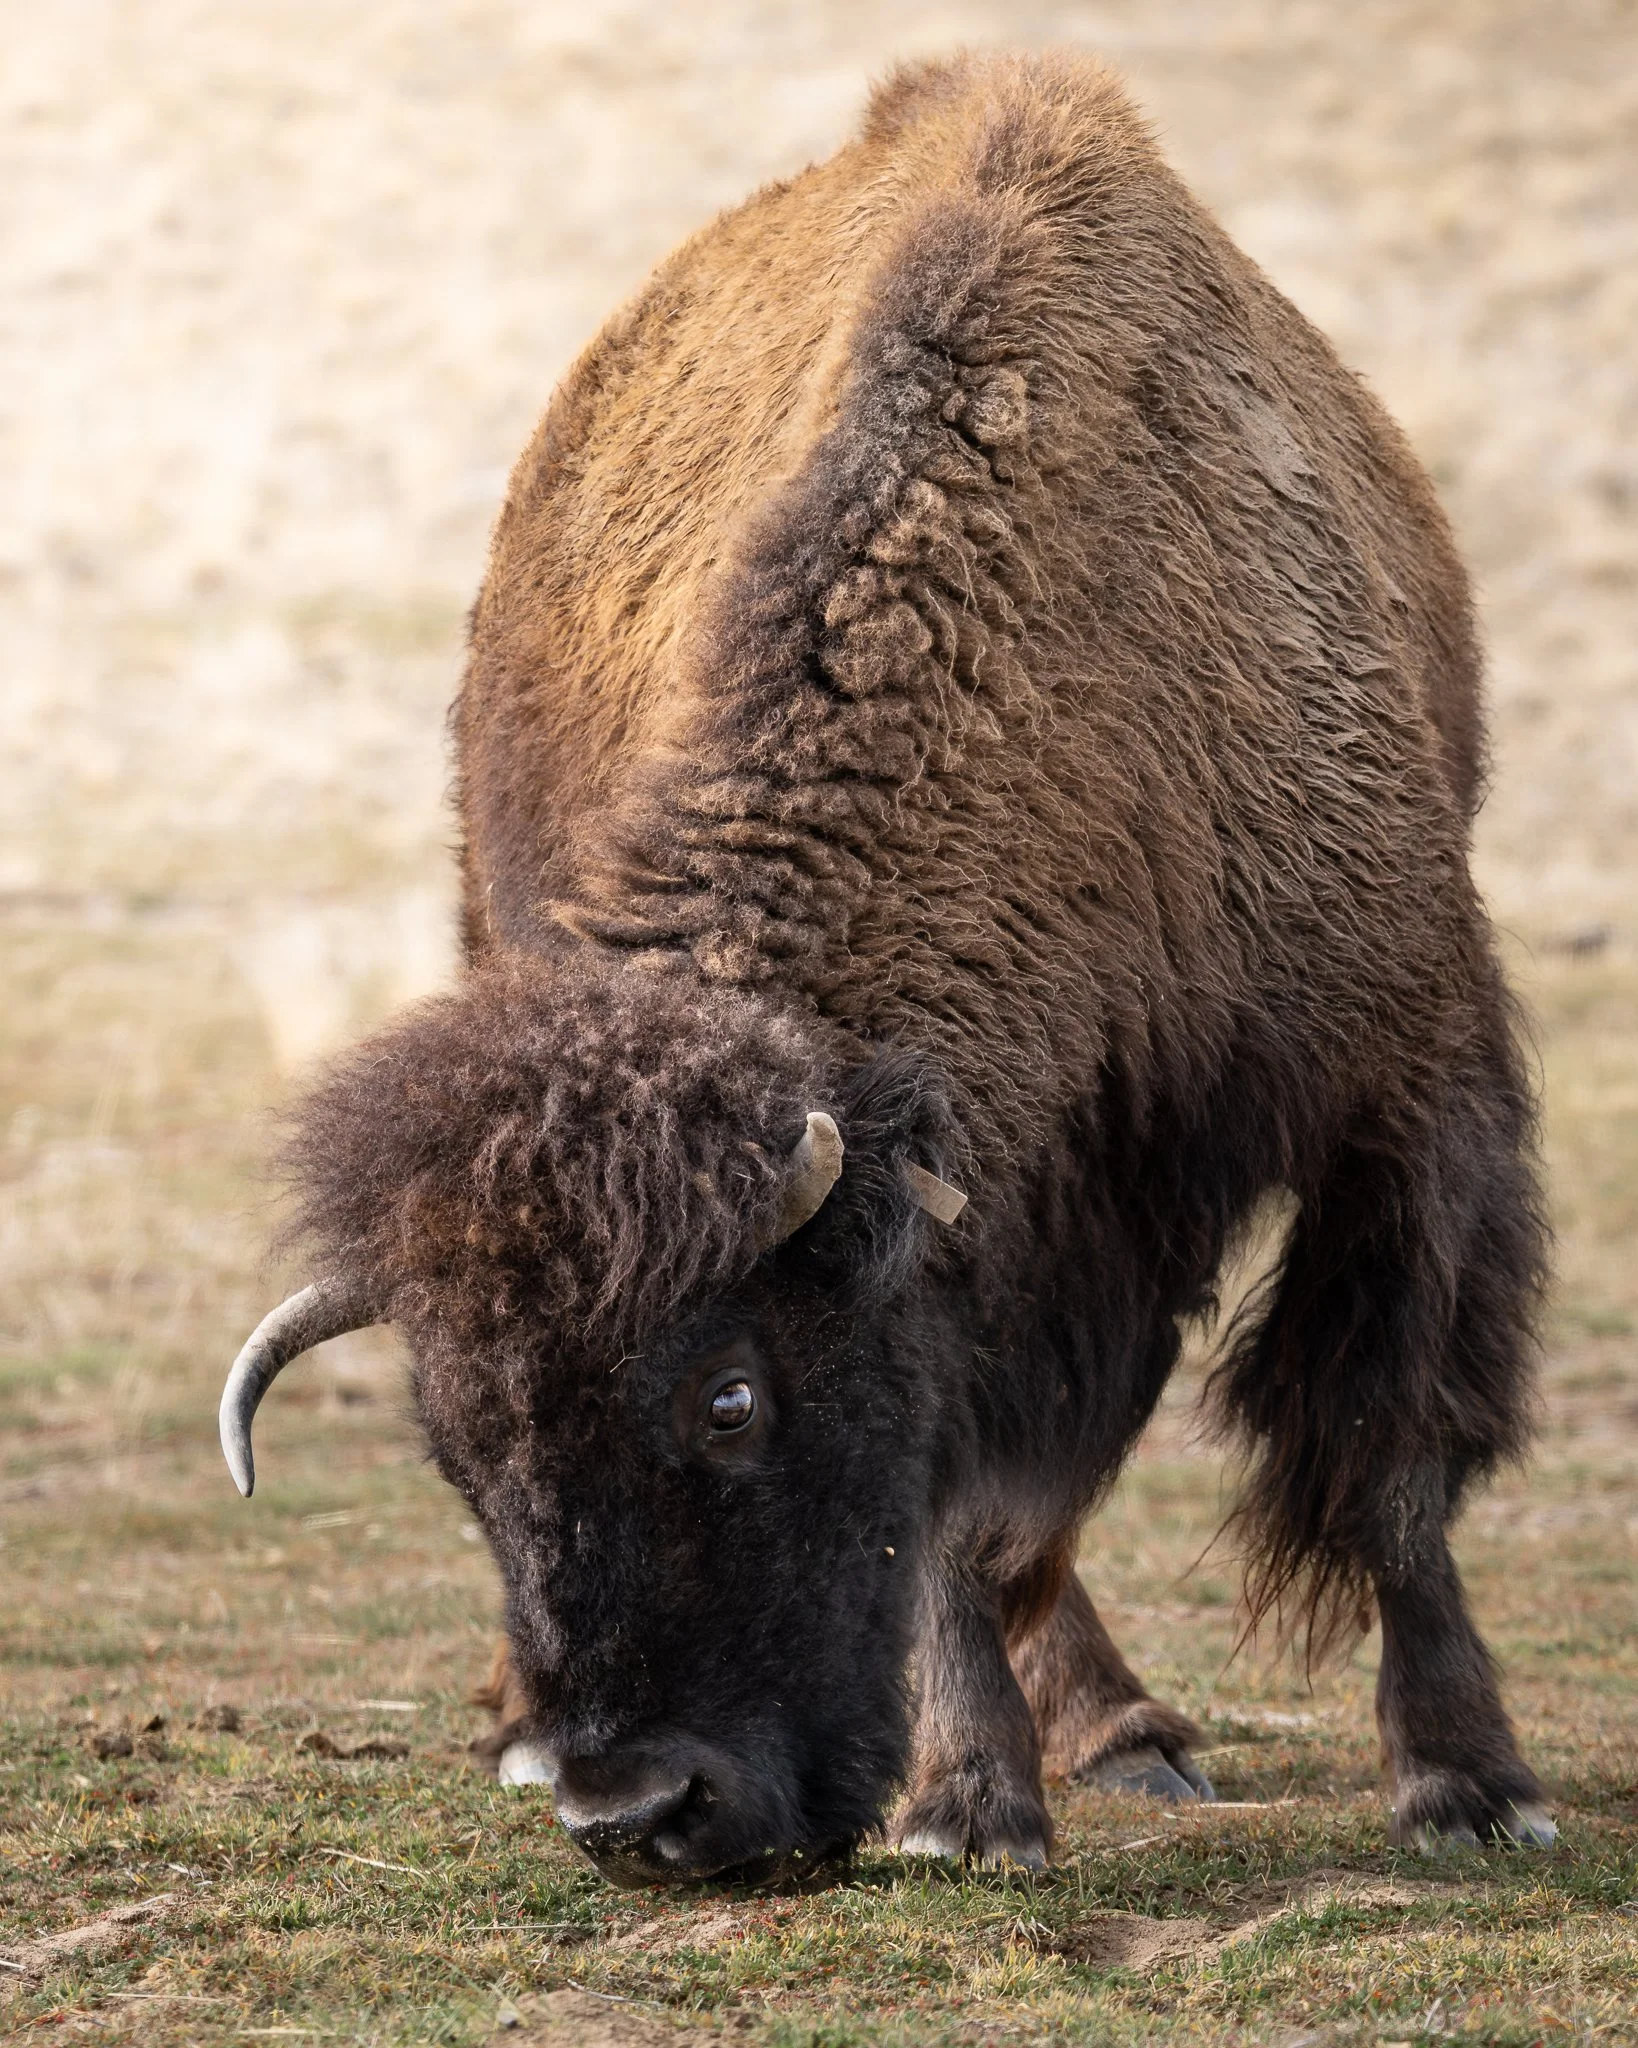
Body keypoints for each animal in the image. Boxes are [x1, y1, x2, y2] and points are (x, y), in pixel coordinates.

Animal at [221, 51, 1554, 1883]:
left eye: (728, 1397)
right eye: (455, 1443)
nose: (638, 1812)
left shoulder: (1395, 1085)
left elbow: (1387, 1451)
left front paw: (1472, 1785)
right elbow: (959, 1520)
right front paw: (969, 1810)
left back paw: (1134, 1740)